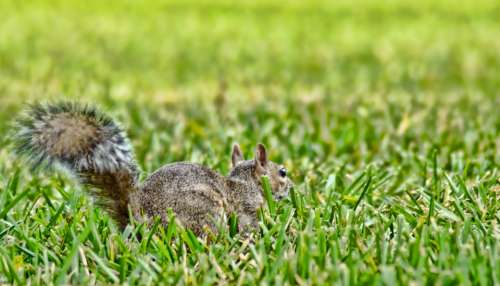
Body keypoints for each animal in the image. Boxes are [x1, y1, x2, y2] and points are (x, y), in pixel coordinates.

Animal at [13, 101, 292, 236]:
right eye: (283, 172)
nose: (291, 188)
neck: (247, 183)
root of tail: (136, 216)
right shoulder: (247, 208)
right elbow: (250, 225)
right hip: (204, 209)